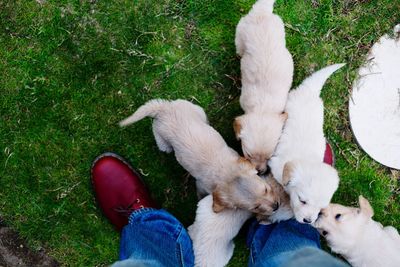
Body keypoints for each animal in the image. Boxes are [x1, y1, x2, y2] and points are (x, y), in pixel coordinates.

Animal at [119, 100, 278, 216]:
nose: (276, 206)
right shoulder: (202, 186)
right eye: (255, 207)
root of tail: (164, 108)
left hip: (197, 110)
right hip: (162, 141)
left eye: (266, 189)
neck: (226, 173)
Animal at [234, 0, 294, 174]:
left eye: (269, 156)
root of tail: (262, 12)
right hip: (240, 33)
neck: (262, 107)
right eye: (247, 155)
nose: (260, 171)